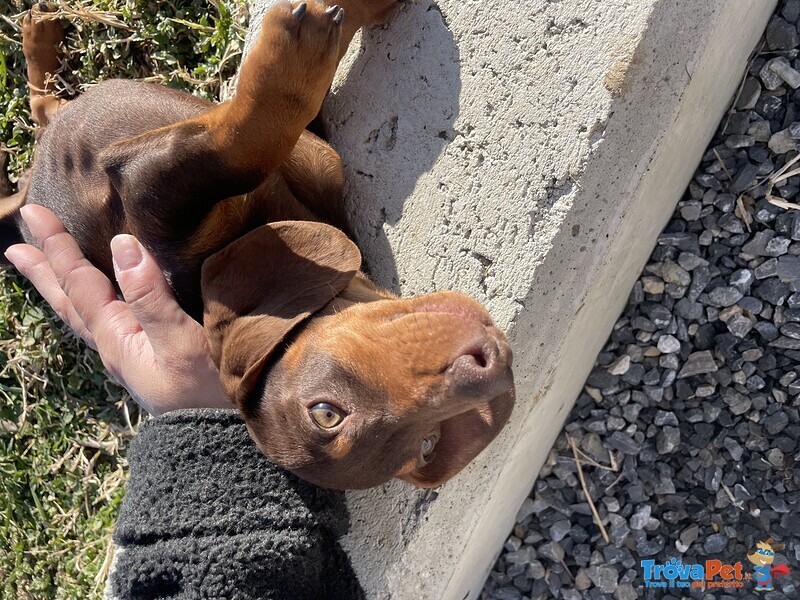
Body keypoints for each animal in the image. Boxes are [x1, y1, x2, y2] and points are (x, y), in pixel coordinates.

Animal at [0, 0, 512, 490]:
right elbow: (242, 150)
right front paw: (297, 52)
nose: (491, 367)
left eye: (427, 445)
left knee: (43, 109)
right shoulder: (150, 191)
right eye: (327, 413)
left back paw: (39, 35)